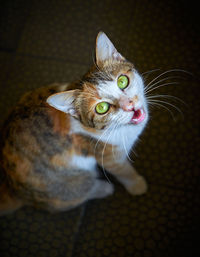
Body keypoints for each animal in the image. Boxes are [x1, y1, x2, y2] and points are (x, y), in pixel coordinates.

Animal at [0, 31, 148, 214]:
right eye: (102, 108)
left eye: (122, 81)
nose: (129, 105)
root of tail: (11, 186)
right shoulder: (107, 154)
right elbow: (123, 170)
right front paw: (136, 184)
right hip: (72, 182)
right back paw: (103, 188)